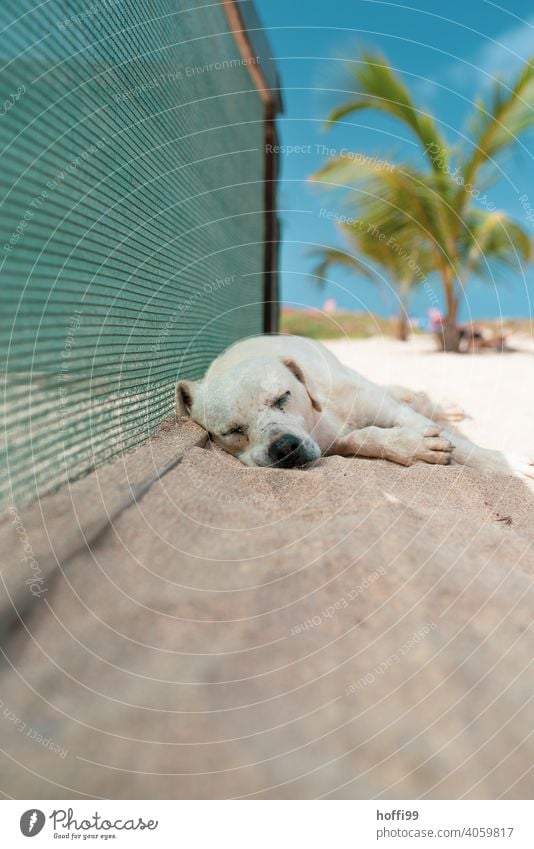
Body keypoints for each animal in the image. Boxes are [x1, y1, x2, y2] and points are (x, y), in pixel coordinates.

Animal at [178, 336, 534, 484]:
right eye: (233, 432)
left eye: (282, 398)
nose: (284, 448)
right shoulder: (334, 441)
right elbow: (367, 437)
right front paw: (413, 446)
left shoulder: (383, 406)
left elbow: (461, 445)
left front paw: (507, 465)